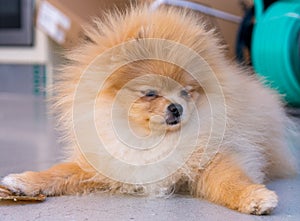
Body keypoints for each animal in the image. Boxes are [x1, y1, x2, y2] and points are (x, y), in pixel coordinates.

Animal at [1, 5, 296, 215]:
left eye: (187, 92)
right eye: (150, 93)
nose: (177, 108)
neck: (147, 139)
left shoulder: (212, 157)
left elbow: (230, 180)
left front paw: (255, 196)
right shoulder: (104, 163)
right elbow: (59, 172)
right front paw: (24, 182)